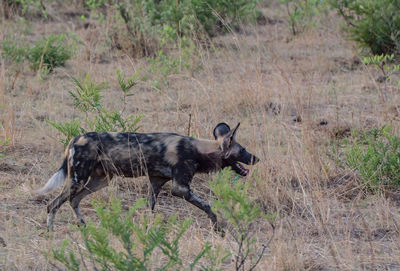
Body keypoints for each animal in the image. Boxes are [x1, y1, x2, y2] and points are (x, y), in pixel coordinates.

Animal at [36, 123, 260, 234]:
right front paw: (217, 228)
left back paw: (83, 226)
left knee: (73, 200)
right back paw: (50, 232)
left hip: (99, 180)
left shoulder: (156, 183)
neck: (199, 150)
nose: (256, 158)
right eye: (243, 150)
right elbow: (208, 207)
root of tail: (76, 138)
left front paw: (146, 230)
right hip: (78, 179)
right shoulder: (180, 188)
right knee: (52, 204)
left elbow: (149, 210)